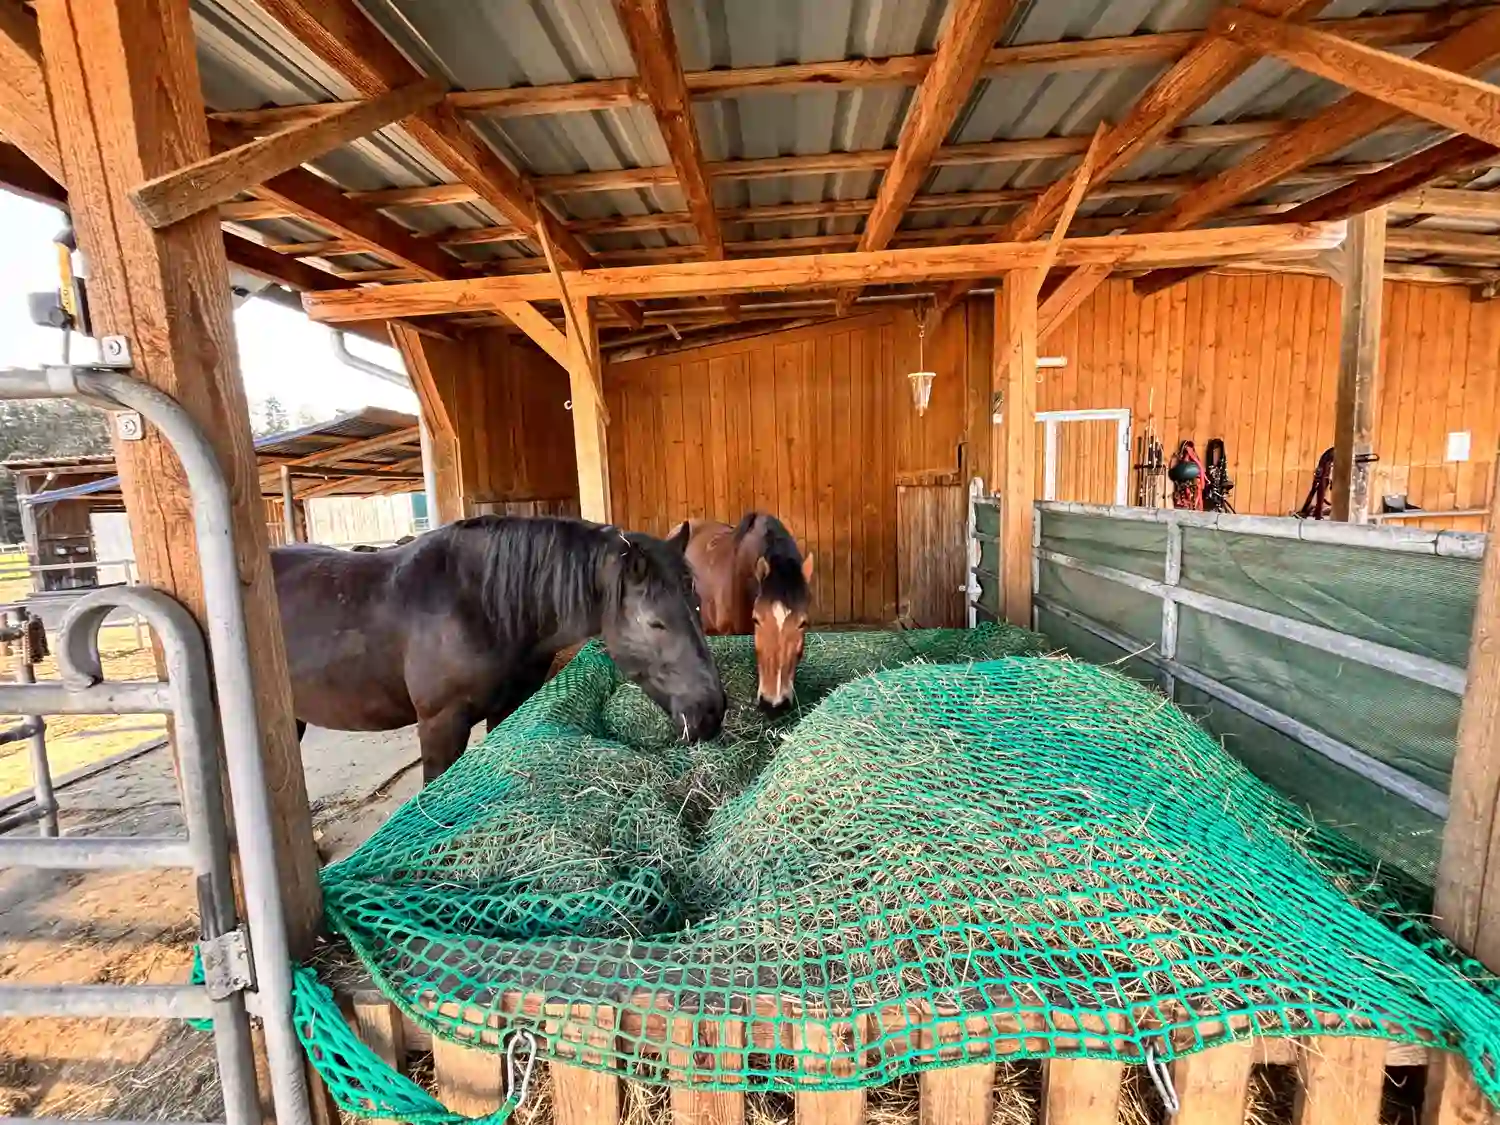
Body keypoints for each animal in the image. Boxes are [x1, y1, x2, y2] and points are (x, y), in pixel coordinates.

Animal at [272, 516, 726, 782]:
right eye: (655, 623)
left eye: (697, 605)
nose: (712, 712)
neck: (475, 605)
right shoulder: (439, 725)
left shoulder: (507, 707)